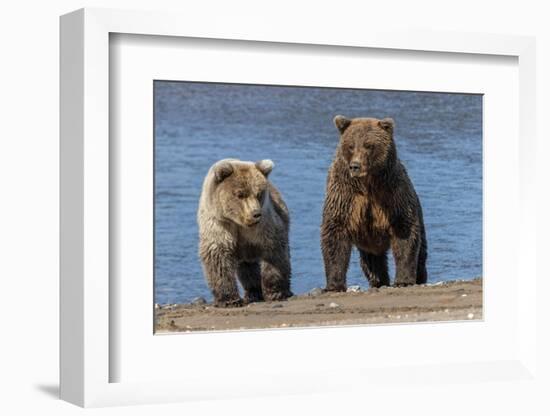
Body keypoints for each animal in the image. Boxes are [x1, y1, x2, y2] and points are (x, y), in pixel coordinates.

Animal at [198, 158, 294, 308]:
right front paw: (229, 299)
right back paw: (253, 292)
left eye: (259, 193)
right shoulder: (219, 224)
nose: (256, 214)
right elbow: (218, 256)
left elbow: (274, 252)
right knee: (248, 268)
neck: (238, 222)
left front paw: (275, 292)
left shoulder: (263, 226)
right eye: (240, 194)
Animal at [322, 114, 430, 290]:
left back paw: (420, 277)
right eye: (351, 146)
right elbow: (334, 233)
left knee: (421, 253)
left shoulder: (392, 193)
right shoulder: (345, 196)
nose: (355, 166)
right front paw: (334, 284)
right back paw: (379, 281)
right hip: (368, 243)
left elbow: (405, 231)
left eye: (368, 145)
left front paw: (403, 280)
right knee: (372, 262)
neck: (368, 183)